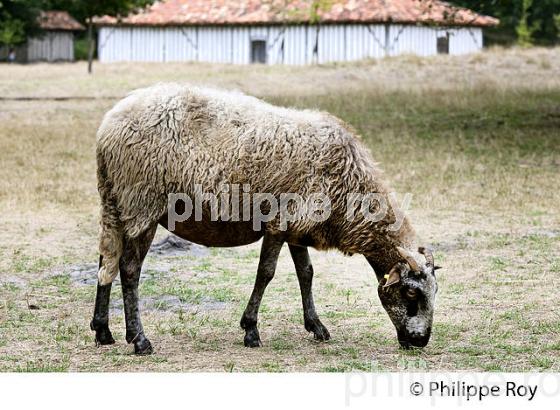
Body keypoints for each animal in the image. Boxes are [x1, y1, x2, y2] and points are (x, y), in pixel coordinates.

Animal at [89, 81, 440, 354]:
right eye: (411, 292)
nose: (420, 342)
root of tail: (107, 129)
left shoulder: (299, 227)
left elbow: (306, 274)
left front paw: (316, 326)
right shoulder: (280, 222)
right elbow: (266, 273)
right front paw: (251, 330)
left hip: (113, 200)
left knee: (105, 259)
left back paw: (103, 331)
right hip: (142, 202)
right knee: (129, 269)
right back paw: (139, 339)